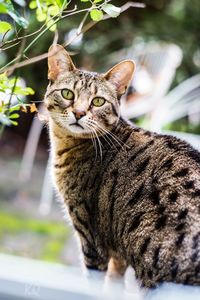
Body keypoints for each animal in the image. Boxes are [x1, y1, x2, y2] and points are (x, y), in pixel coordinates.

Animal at [44, 44, 200, 288]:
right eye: (68, 94)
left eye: (98, 101)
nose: (79, 113)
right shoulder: (117, 254)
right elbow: (113, 282)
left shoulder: (91, 239)